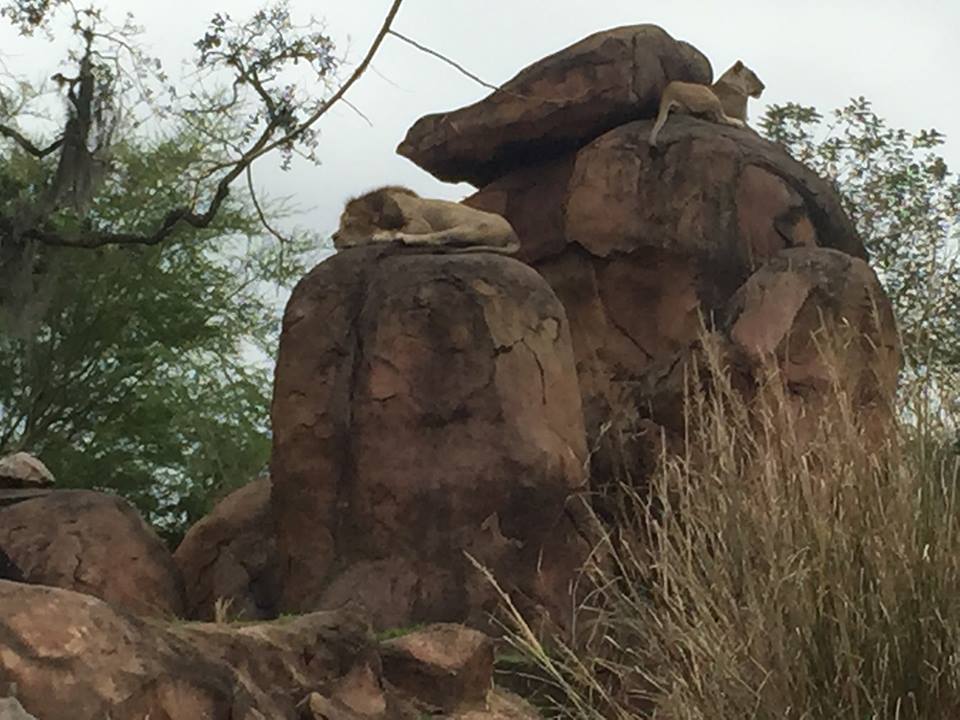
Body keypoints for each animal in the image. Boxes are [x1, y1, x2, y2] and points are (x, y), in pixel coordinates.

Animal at [332, 186, 520, 255]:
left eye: (348, 224)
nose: (333, 238)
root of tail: (513, 234)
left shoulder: (421, 224)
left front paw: (381, 235)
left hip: (470, 227)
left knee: (439, 238)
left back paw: (399, 238)